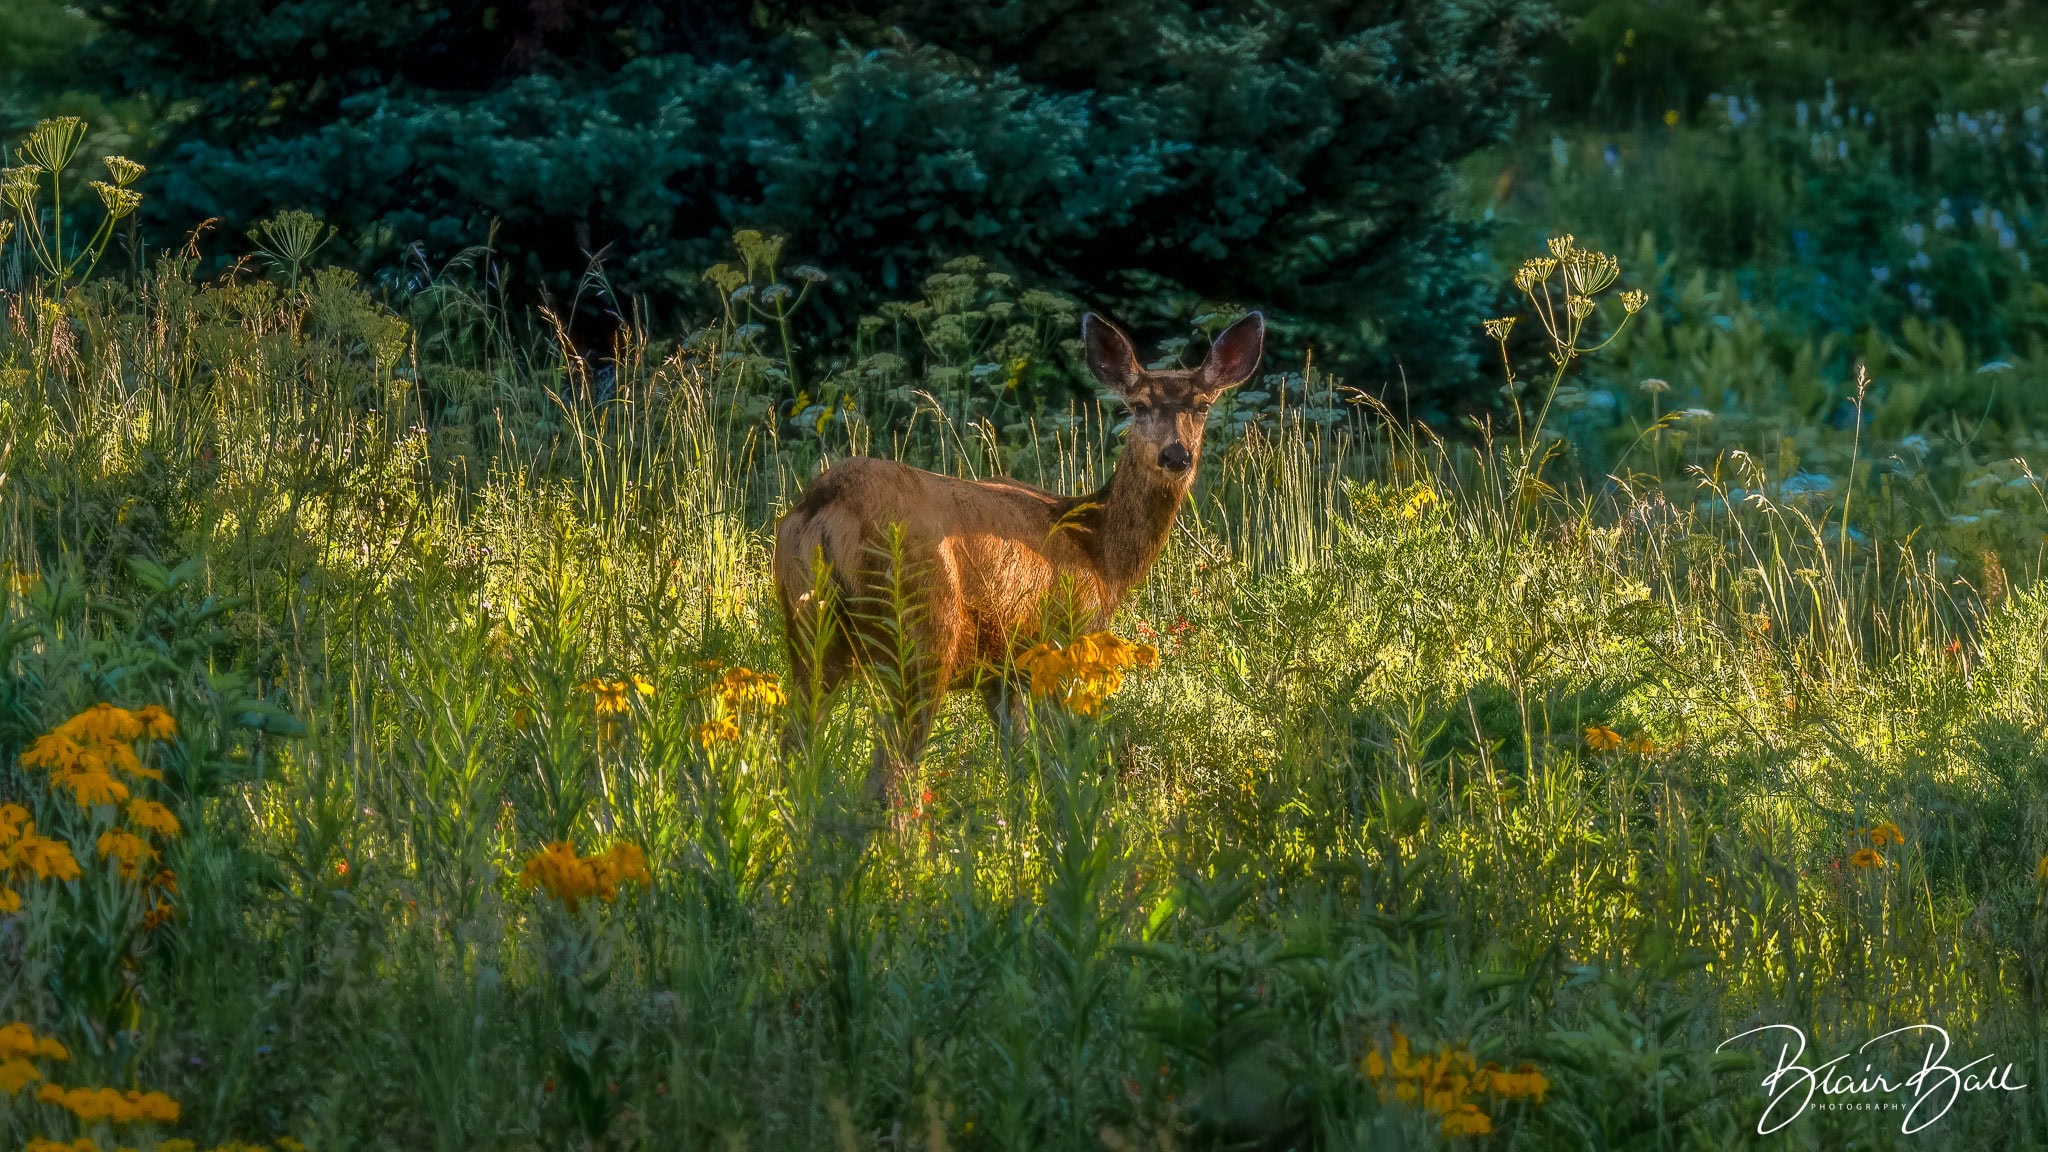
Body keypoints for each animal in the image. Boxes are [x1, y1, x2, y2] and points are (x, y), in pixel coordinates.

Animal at [772, 311, 1264, 804]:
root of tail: (825, 506)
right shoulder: (1066, 638)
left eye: (1201, 406)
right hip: (922, 631)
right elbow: (1057, 757)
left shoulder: (1000, 668)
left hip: (807, 632)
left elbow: (1018, 759)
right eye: (1139, 406)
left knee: (795, 746)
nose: (1176, 455)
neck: (1100, 553)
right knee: (890, 773)